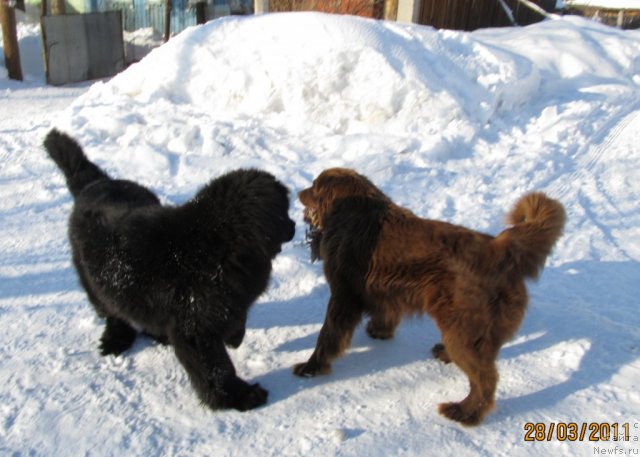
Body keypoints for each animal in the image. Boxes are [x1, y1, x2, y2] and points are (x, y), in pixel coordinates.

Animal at [43, 128, 296, 410]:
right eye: (285, 212)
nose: (295, 226)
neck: (219, 244)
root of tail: (94, 183)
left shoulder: (230, 301)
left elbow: (235, 319)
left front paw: (234, 337)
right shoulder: (195, 329)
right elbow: (216, 368)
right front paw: (238, 395)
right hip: (93, 280)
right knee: (112, 310)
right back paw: (117, 338)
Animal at [294, 167, 564, 424]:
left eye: (314, 186)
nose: (298, 192)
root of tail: (501, 249)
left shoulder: (342, 295)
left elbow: (327, 336)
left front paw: (311, 367)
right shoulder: (384, 289)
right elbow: (386, 313)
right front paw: (379, 332)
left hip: (463, 331)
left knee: (485, 379)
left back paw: (464, 412)